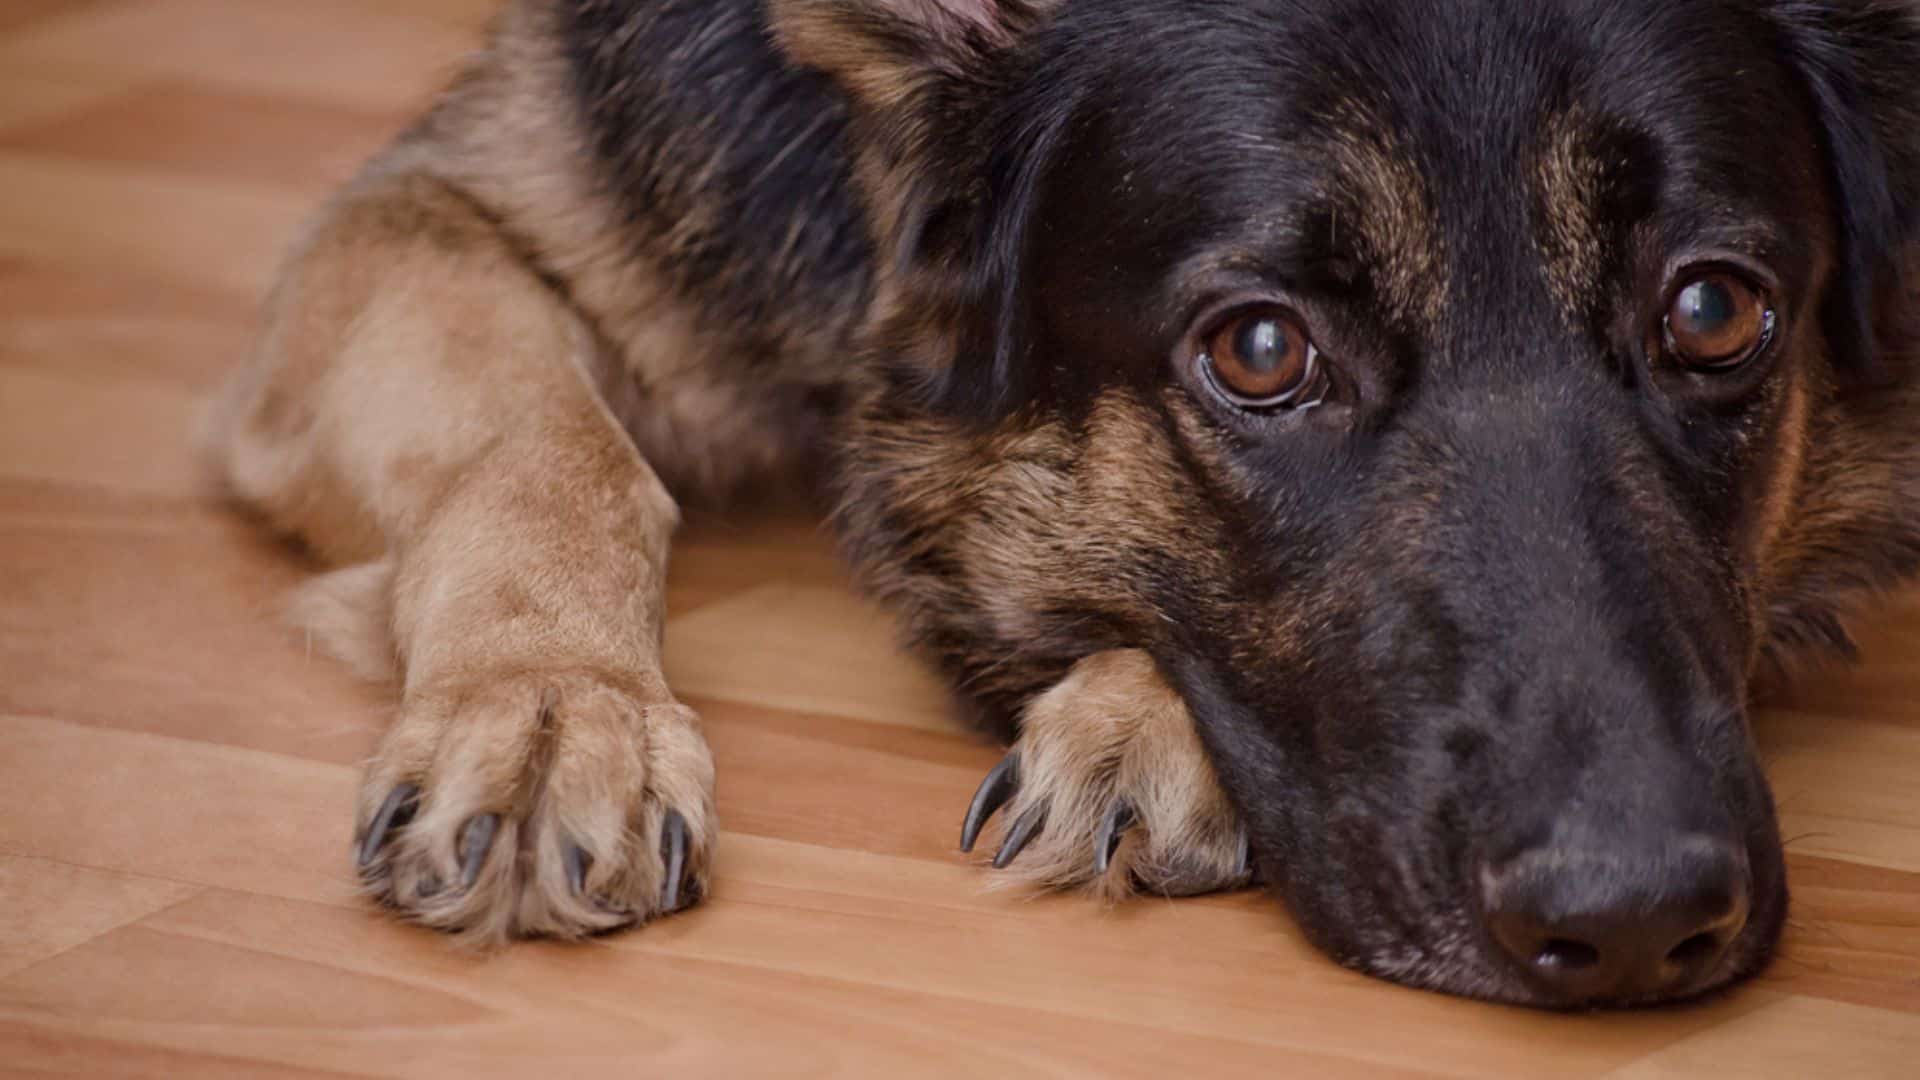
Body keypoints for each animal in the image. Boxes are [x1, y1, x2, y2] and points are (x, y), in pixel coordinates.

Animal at [210, 0, 1920, 1006]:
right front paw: (551, 706)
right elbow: (543, 440)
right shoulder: (438, 210)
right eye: (1260, 350)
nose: (1634, 921)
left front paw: (1135, 722)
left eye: (1715, 311)